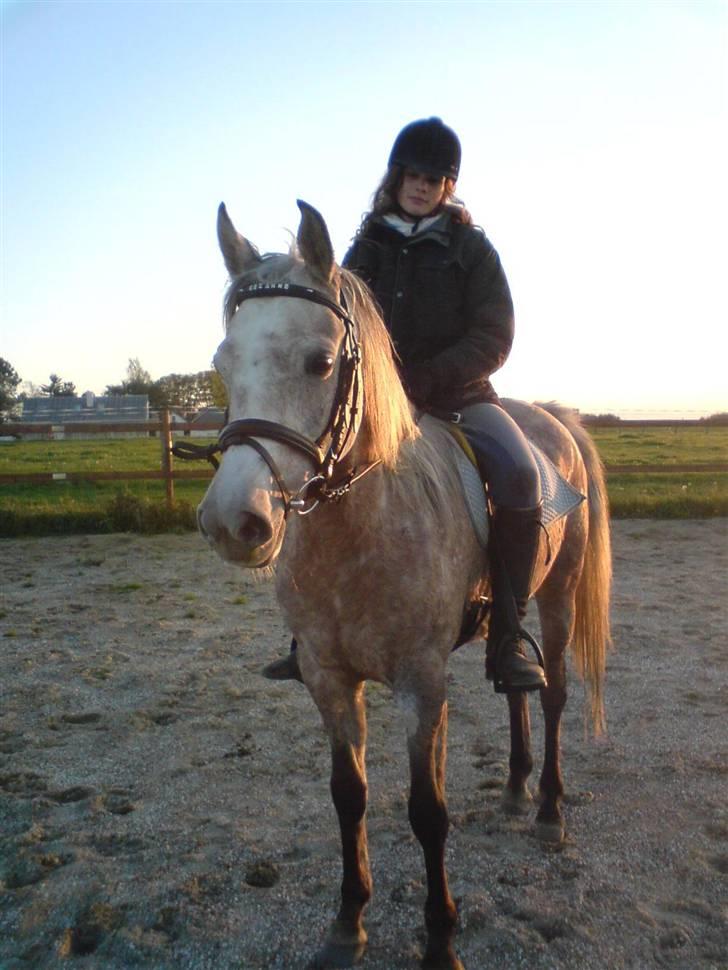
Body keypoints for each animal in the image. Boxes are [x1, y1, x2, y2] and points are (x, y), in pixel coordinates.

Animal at [195, 200, 612, 970]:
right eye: (221, 364)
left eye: (321, 361)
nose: (233, 522)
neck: (360, 530)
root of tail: (554, 419)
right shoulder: (329, 678)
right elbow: (348, 795)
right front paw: (347, 921)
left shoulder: (421, 680)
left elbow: (427, 810)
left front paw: (441, 937)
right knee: (515, 685)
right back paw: (516, 788)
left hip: (560, 595)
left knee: (555, 695)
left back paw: (547, 810)